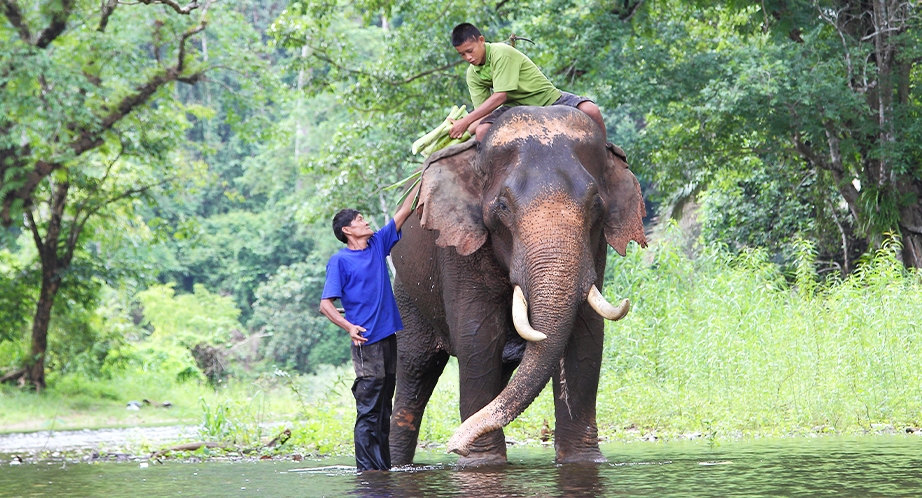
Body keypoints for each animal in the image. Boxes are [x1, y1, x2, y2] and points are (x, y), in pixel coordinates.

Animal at [384, 105, 644, 466]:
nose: (453, 444)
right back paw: (396, 465)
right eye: (503, 208)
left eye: (596, 206)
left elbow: (587, 336)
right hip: (407, 293)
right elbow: (478, 337)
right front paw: (481, 464)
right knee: (415, 370)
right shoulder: (460, 244)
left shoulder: (597, 249)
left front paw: (583, 461)